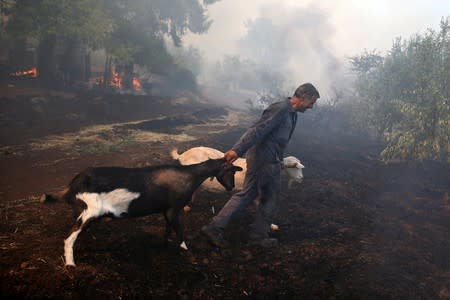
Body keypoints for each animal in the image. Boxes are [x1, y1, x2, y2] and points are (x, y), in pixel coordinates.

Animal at [43, 158, 243, 266]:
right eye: (231, 172)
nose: (231, 187)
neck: (190, 176)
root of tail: (71, 187)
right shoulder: (174, 208)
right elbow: (179, 230)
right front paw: (186, 250)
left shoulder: (166, 210)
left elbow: (168, 229)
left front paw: (164, 244)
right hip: (90, 210)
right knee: (69, 236)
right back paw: (70, 264)